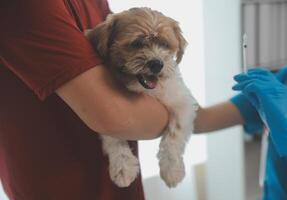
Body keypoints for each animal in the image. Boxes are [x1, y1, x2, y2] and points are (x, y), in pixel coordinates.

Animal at [85, 7, 199, 188]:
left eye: (165, 45)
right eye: (136, 43)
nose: (157, 63)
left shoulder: (182, 103)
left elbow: (174, 136)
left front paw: (172, 171)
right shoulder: (107, 112)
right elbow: (114, 138)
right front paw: (123, 167)